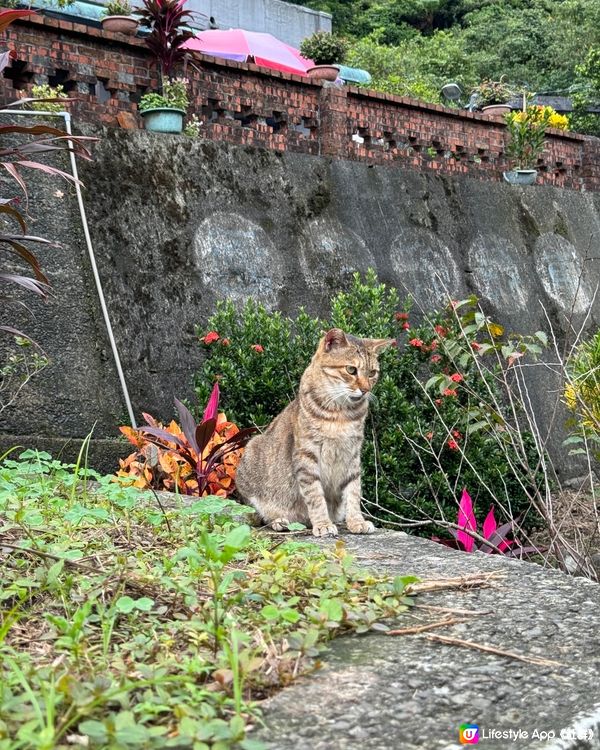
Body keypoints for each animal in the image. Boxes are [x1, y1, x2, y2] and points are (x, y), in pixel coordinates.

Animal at [236, 328, 398, 536]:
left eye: (372, 373)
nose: (365, 390)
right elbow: (315, 496)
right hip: (251, 453)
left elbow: (353, 492)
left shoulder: (352, 455)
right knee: (259, 515)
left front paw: (356, 522)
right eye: (351, 370)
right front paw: (322, 524)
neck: (341, 414)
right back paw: (280, 520)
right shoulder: (307, 456)